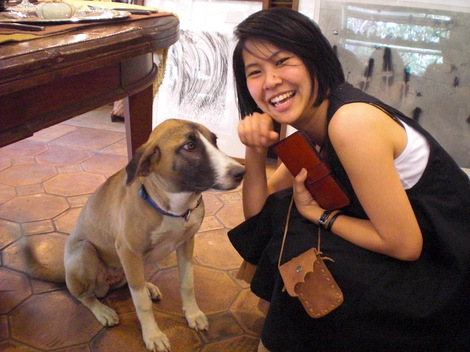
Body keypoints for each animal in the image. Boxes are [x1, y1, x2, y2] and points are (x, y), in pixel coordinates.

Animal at [24, 119, 246, 352]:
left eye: (215, 140)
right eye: (190, 146)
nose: (242, 172)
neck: (172, 206)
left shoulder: (186, 243)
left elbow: (187, 283)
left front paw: (193, 314)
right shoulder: (128, 251)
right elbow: (141, 304)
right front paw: (153, 335)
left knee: (132, 282)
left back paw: (147, 287)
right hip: (85, 251)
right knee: (85, 296)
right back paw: (102, 310)